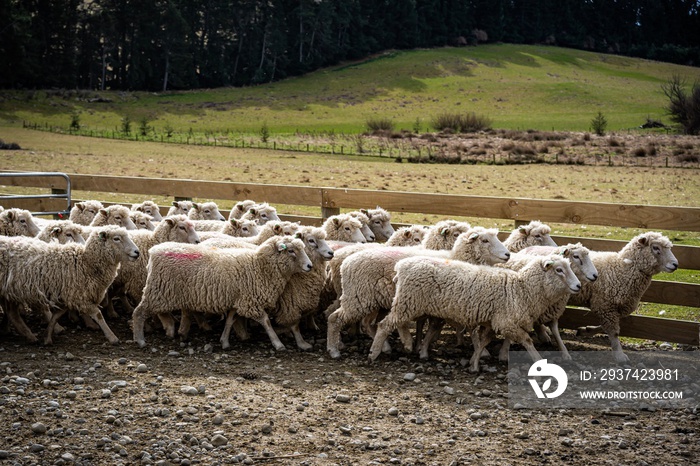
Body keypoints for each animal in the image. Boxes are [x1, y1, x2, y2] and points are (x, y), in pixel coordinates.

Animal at [0, 226, 141, 346]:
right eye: (116, 238)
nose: (137, 252)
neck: (86, 263)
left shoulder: (66, 297)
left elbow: (56, 316)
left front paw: (47, 337)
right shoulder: (78, 296)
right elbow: (98, 314)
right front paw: (112, 337)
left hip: (10, 291)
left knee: (11, 313)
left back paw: (25, 335)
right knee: (12, 313)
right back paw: (28, 335)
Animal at [133, 237, 314, 350]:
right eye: (291, 251)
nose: (309, 266)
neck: (259, 267)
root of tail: (153, 251)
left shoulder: (237, 300)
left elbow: (230, 320)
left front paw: (224, 341)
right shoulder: (250, 302)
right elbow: (266, 322)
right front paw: (278, 343)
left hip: (163, 292)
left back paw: (171, 330)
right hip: (158, 291)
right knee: (139, 312)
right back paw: (140, 339)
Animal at [326, 228, 512, 358]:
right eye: (485, 240)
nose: (507, 254)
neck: (455, 256)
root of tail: (345, 262)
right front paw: (483, 351)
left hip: (371, 300)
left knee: (366, 323)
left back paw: (385, 346)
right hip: (359, 297)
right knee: (335, 318)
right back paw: (334, 349)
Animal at [372, 255, 580, 372]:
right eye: (559, 270)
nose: (578, 286)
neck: (521, 289)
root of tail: (401, 266)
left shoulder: (493, 322)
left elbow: (483, 342)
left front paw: (474, 363)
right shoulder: (506, 323)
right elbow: (527, 341)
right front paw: (538, 361)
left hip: (409, 303)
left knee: (397, 323)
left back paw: (409, 345)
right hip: (409, 302)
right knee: (384, 324)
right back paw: (374, 353)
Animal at [568, 231, 680, 362]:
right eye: (656, 248)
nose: (675, 264)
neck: (622, 268)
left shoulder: (609, 307)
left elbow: (606, 327)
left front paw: (585, 330)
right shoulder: (605, 306)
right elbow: (614, 332)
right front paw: (620, 355)